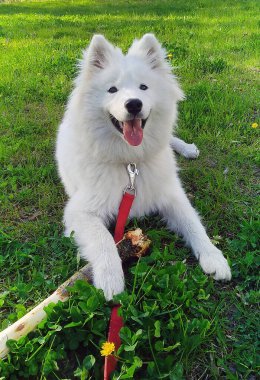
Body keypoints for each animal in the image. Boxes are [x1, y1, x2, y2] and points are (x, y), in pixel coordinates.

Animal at [55, 34, 231, 300]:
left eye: (144, 87)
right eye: (112, 89)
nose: (134, 104)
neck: (130, 162)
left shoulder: (171, 195)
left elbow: (194, 223)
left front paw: (214, 257)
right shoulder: (80, 211)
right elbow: (104, 240)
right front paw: (110, 280)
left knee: (170, 138)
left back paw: (187, 148)